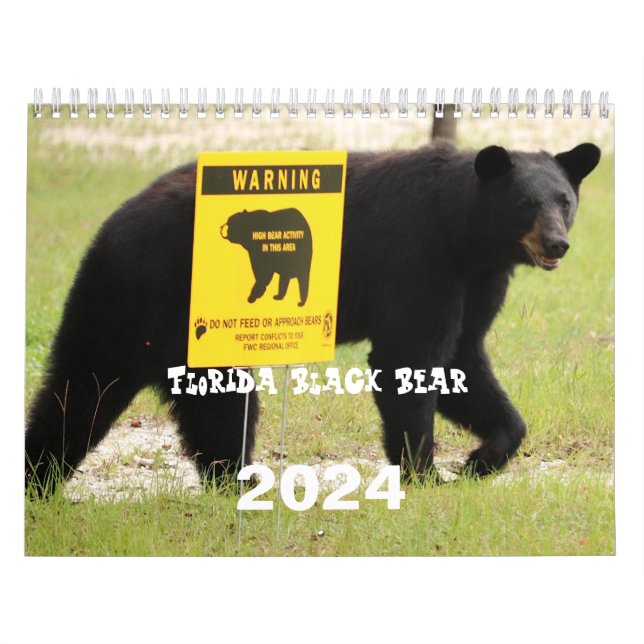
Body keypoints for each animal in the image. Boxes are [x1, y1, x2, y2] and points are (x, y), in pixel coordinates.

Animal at [25, 142, 601, 493]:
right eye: (526, 203)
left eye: (565, 200)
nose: (557, 243)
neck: (465, 235)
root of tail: (111, 225)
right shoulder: (417, 259)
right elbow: (408, 358)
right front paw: (422, 472)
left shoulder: (478, 279)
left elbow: (462, 359)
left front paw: (482, 459)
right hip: (144, 296)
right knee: (114, 387)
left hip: (155, 322)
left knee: (135, 393)